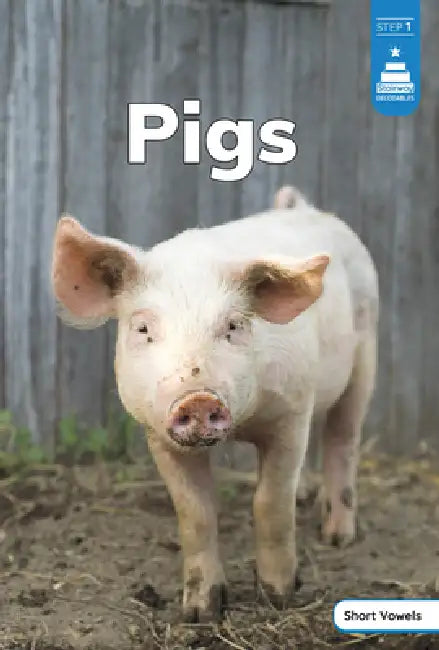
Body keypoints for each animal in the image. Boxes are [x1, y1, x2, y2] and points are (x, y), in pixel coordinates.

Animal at [51, 185, 378, 622]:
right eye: (143, 328)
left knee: (344, 438)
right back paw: (308, 498)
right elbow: (196, 513)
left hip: (366, 350)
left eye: (234, 326)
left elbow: (270, 503)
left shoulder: (291, 410)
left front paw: (278, 598)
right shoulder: (158, 434)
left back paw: (338, 537)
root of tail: (307, 209)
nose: (198, 397)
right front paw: (200, 613)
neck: (243, 425)